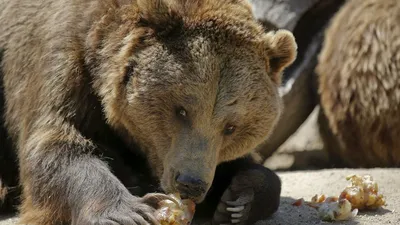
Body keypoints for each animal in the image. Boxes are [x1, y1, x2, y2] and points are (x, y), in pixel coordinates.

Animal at [0, 0, 296, 224]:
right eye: (182, 110)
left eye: (231, 127)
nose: (191, 184)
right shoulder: (63, 61)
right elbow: (55, 145)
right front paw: (129, 212)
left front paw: (239, 199)